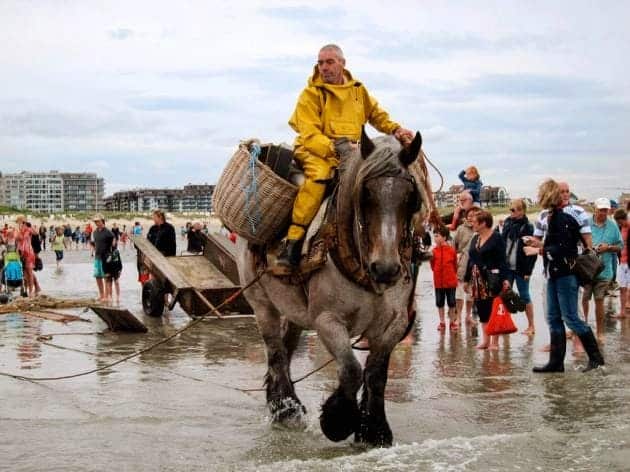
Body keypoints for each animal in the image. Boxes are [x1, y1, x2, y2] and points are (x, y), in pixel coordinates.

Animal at [237, 131, 424, 448]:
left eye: (411, 198)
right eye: (366, 194)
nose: (386, 269)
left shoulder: (394, 323)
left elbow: (376, 375)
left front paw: (374, 430)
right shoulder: (327, 320)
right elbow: (351, 370)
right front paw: (337, 420)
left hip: (297, 312)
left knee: (286, 348)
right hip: (262, 304)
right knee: (275, 352)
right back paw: (285, 409)